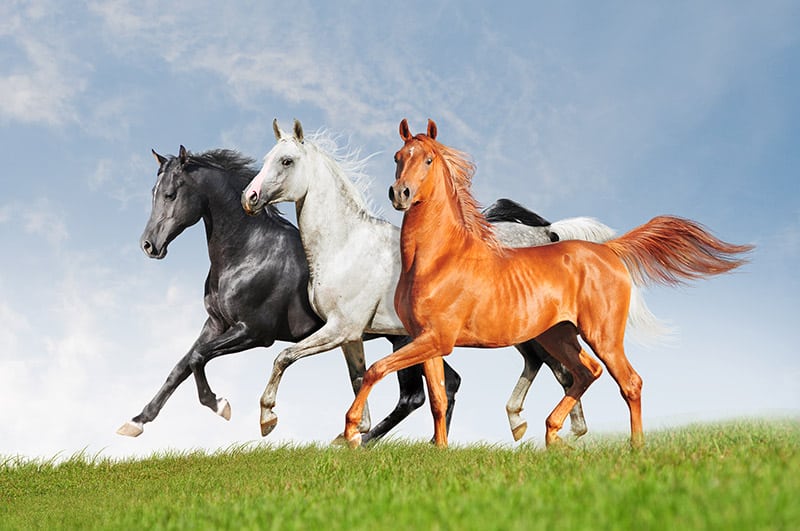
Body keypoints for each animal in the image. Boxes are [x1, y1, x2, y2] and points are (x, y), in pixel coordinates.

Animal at [117, 146, 451, 441]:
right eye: (154, 192)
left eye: (171, 194)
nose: (149, 245)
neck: (249, 251)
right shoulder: (215, 324)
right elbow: (181, 366)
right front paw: (136, 422)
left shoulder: (254, 333)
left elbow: (199, 358)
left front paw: (221, 405)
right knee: (448, 384)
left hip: (404, 340)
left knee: (414, 396)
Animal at [240, 120, 633, 442]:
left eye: (286, 161)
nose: (250, 198)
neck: (346, 244)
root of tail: (548, 234)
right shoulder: (351, 336)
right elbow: (358, 379)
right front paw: (352, 435)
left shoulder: (340, 328)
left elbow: (284, 357)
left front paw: (267, 419)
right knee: (554, 369)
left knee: (564, 372)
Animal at [340, 118, 753, 448]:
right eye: (398, 156)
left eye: (427, 159)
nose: (400, 194)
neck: (439, 258)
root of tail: (608, 250)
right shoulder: (427, 341)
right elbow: (439, 399)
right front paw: (438, 451)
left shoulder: (435, 339)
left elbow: (376, 371)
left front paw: (350, 432)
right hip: (559, 335)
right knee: (584, 372)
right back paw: (552, 434)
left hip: (601, 334)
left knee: (628, 381)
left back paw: (634, 448)